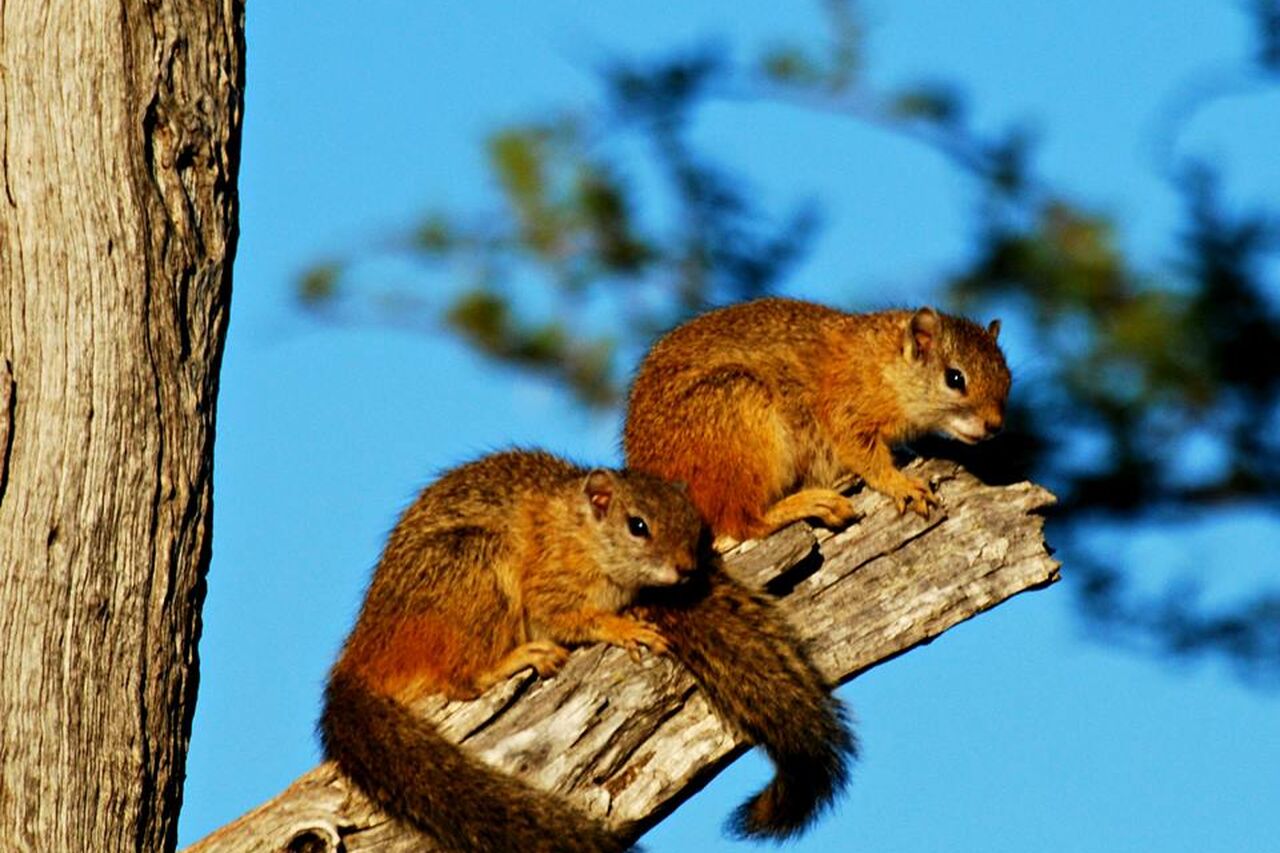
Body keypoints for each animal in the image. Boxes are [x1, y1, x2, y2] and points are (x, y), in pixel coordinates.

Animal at [319, 449, 702, 853]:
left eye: (692, 521)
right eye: (638, 526)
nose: (686, 569)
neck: (580, 531)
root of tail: (367, 651)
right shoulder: (549, 584)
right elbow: (567, 617)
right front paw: (624, 628)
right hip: (474, 567)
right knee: (460, 681)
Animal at [624, 297, 1010, 544]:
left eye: (1007, 379)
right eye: (955, 378)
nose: (994, 427)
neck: (884, 364)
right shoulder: (845, 408)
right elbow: (864, 455)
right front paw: (901, 484)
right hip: (737, 416)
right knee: (741, 521)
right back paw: (812, 504)